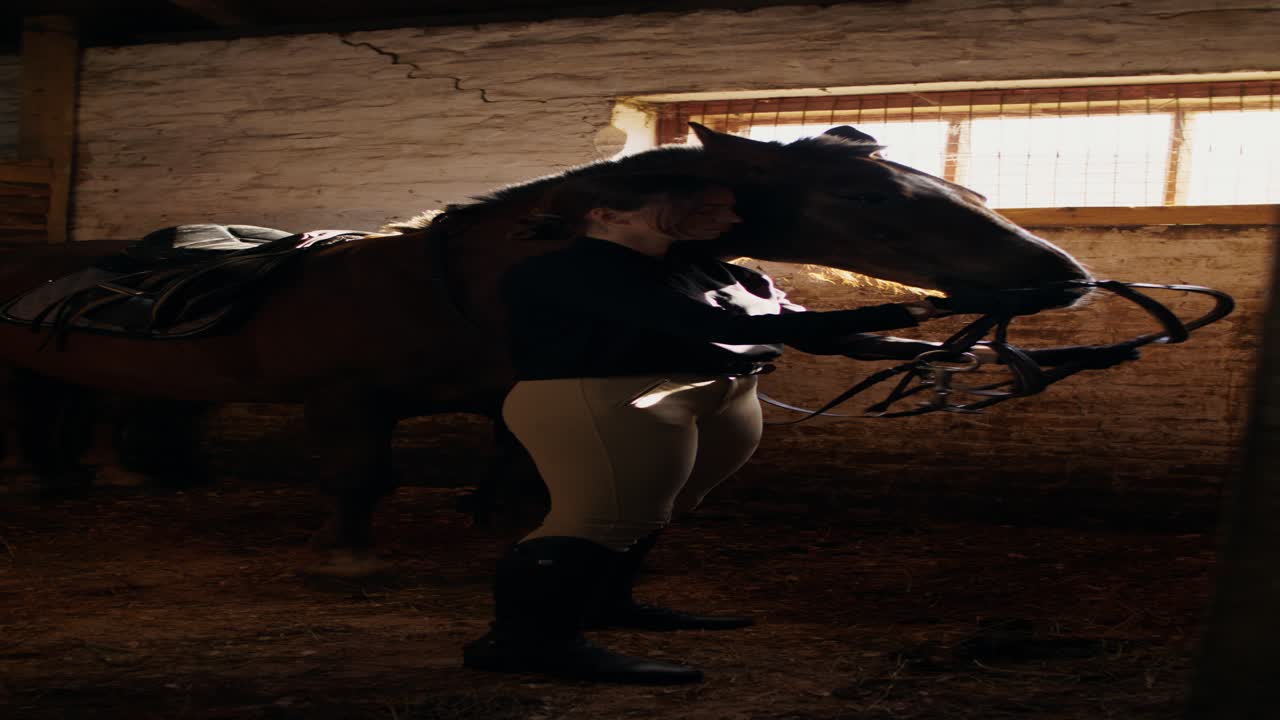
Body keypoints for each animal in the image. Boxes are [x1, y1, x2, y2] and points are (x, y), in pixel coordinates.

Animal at [0, 123, 1091, 576]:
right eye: (869, 195)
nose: (1062, 274)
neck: (457, 283)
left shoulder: (509, 392)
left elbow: (518, 465)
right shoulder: (347, 404)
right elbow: (360, 481)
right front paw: (346, 558)